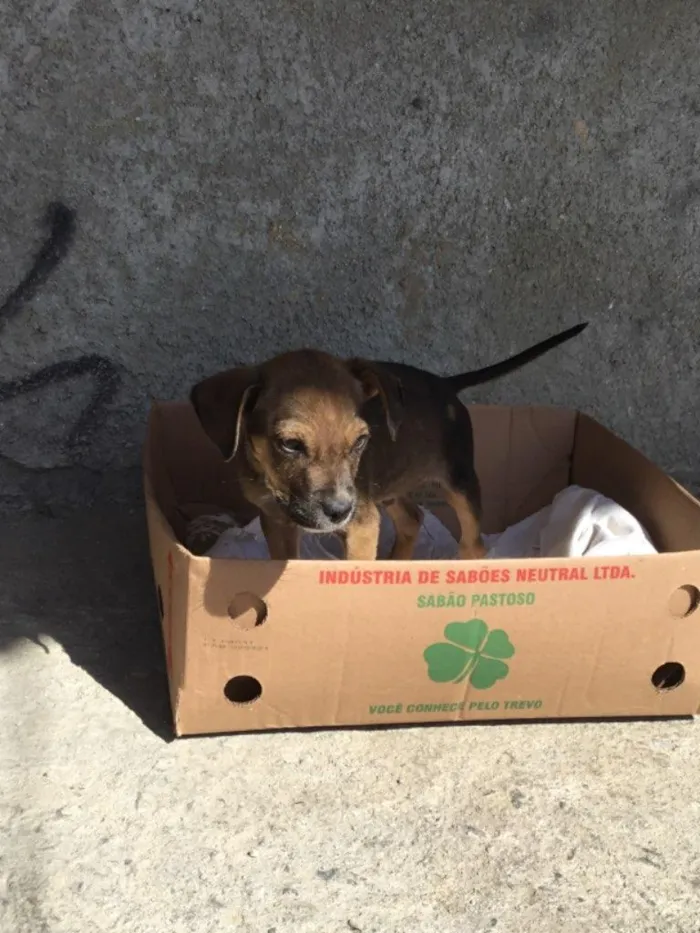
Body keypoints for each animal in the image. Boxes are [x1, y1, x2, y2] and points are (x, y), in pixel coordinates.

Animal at [190, 326, 584, 560]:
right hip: (388, 488)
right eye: (289, 444)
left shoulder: (362, 524)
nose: (339, 511)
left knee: (472, 542)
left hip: (459, 481)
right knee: (412, 518)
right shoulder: (277, 522)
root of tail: (446, 385)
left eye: (360, 441)